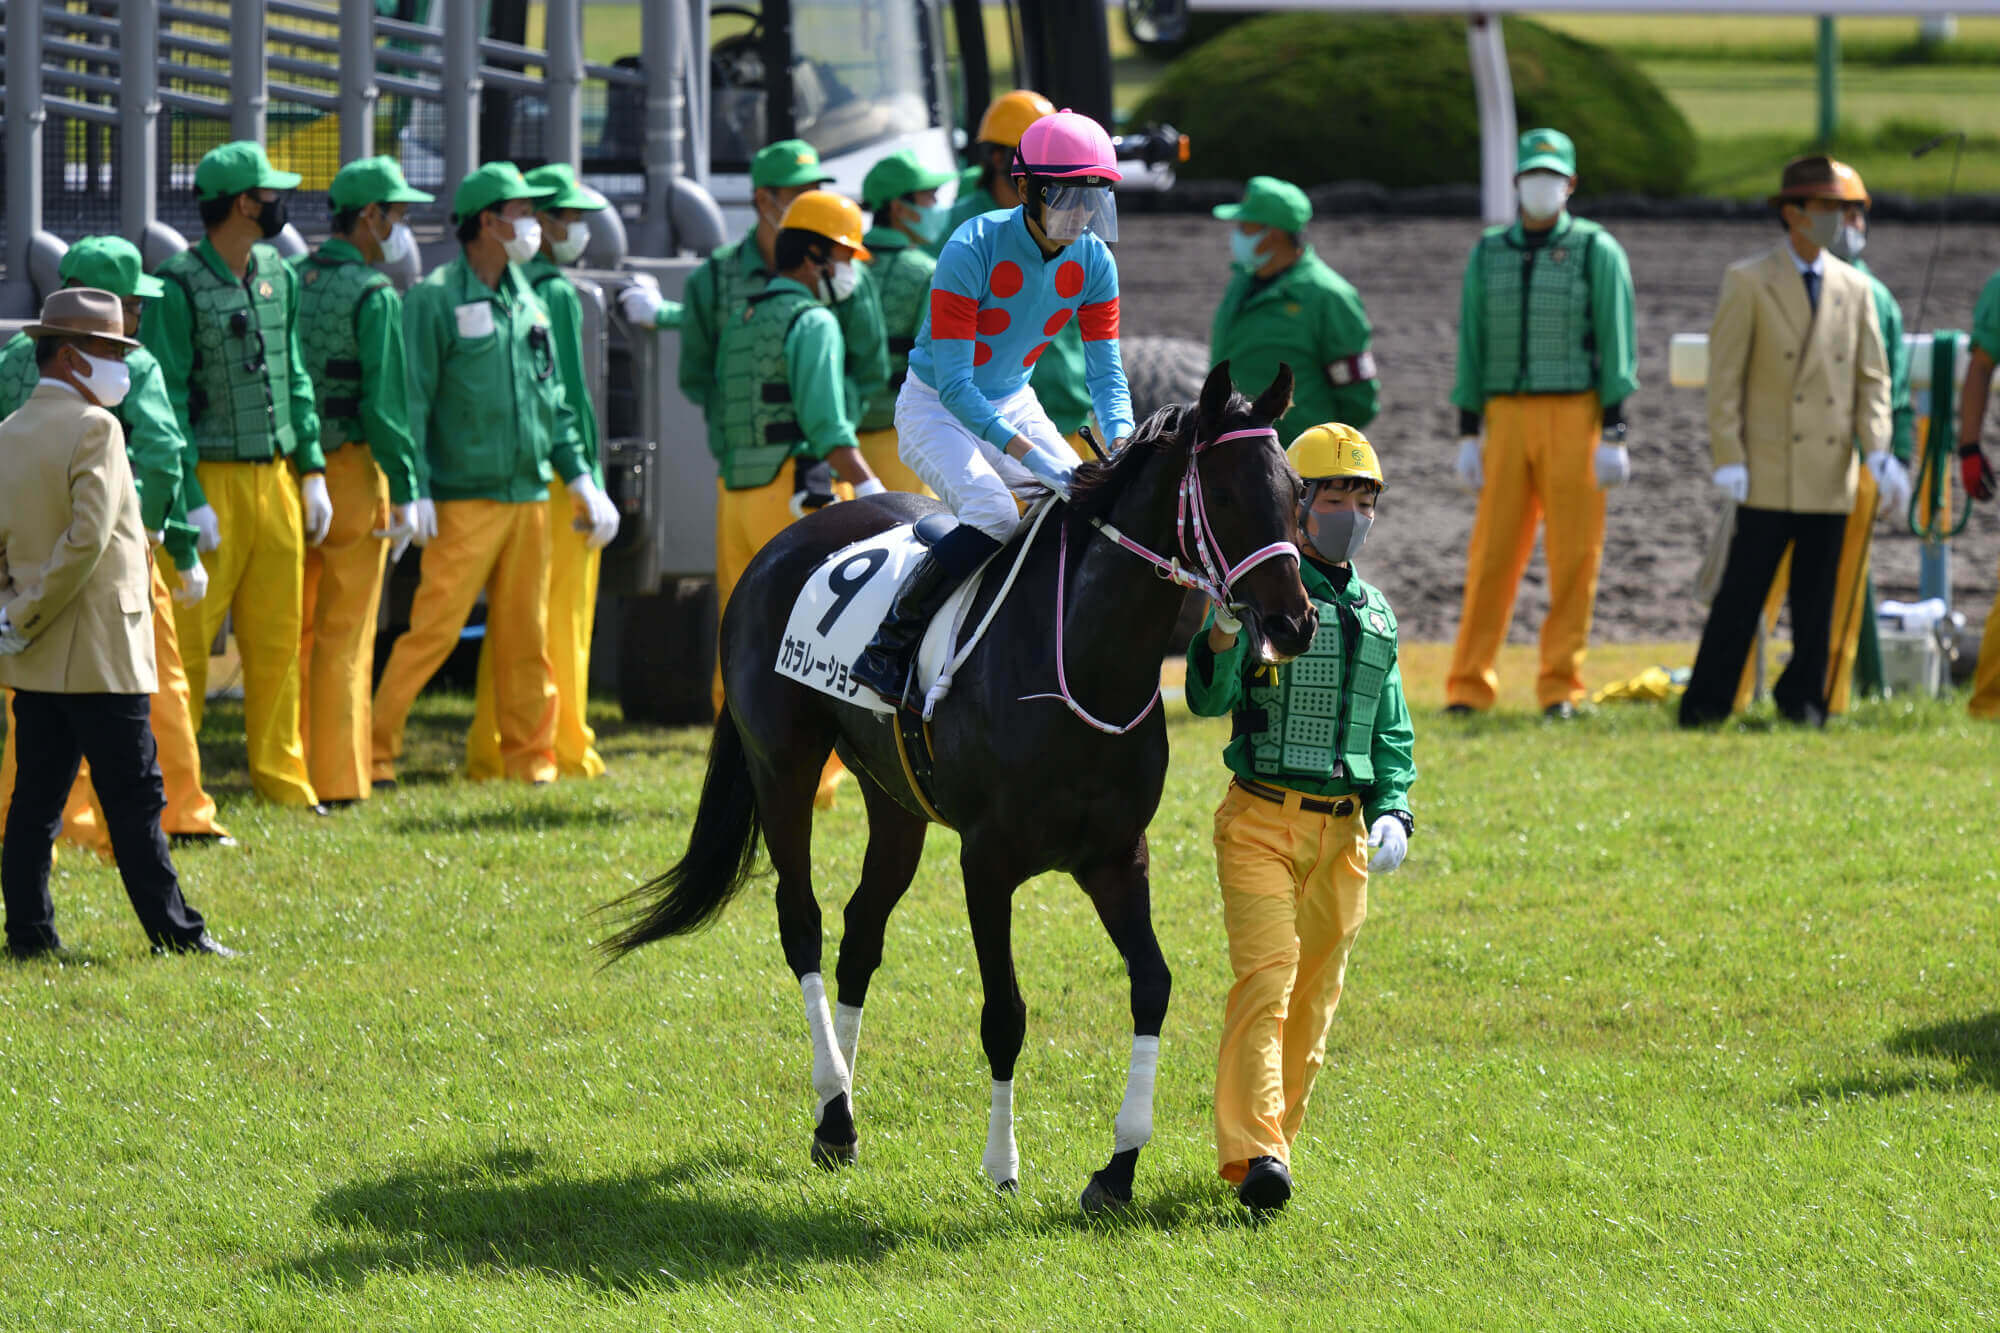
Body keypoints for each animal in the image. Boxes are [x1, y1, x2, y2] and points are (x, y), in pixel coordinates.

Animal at [596, 360, 1312, 1200]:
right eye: (1226, 495)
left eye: (1296, 490)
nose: (1295, 622)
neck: (1081, 660)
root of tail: (782, 545)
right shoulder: (987, 860)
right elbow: (1004, 1011)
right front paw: (1002, 1163)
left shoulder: (1115, 853)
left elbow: (1153, 984)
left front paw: (1119, 1164)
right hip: (784, 768)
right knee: (803, 921)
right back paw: (832, 1099)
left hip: (894, 800)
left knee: (860, 931)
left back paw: (837, 1119)